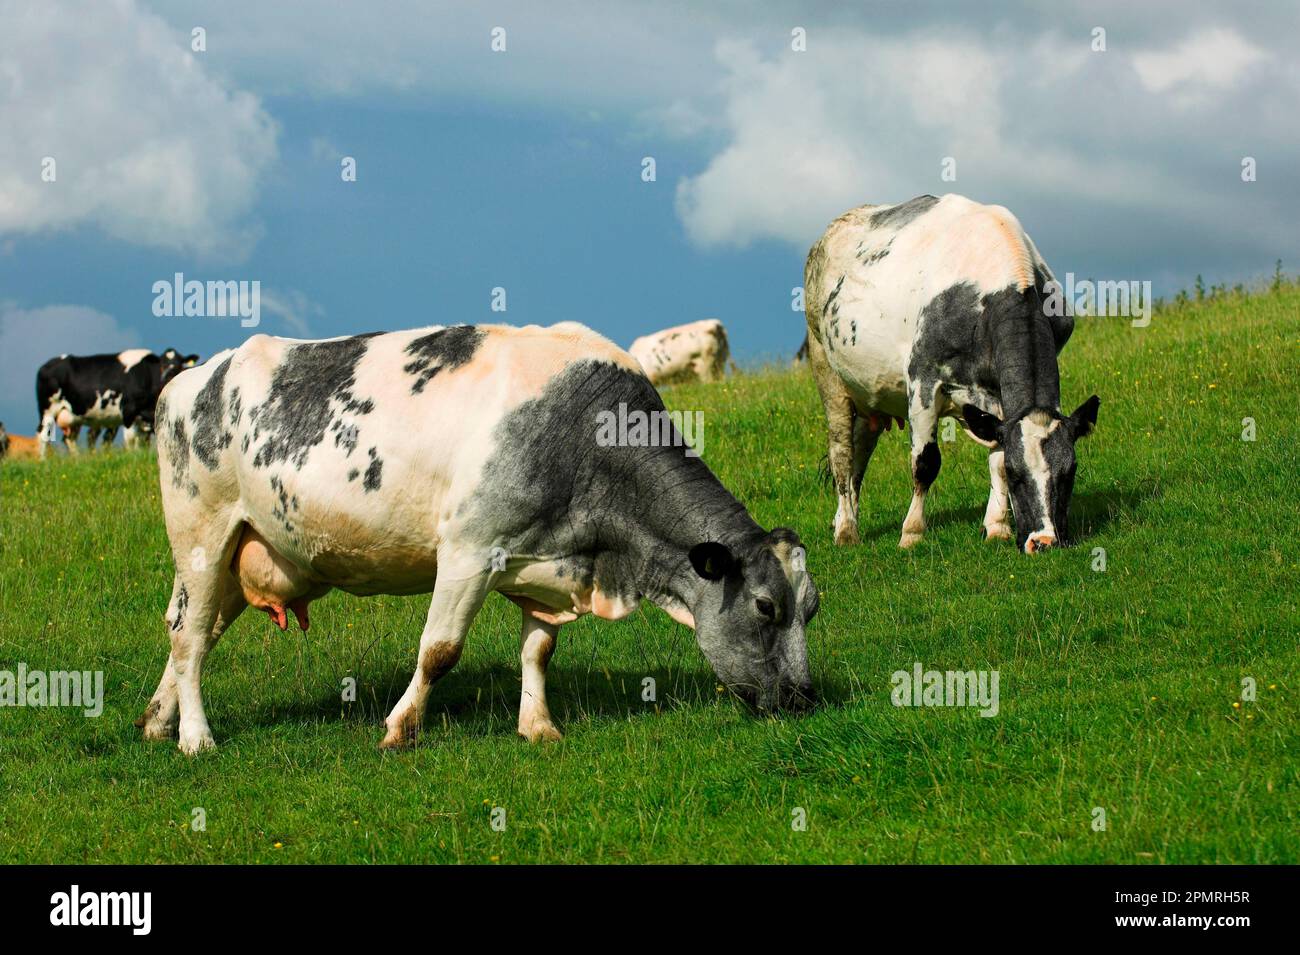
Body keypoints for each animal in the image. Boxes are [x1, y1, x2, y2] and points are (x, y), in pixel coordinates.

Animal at [36, 348, 197, 457]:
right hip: (48, 410)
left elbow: (143, 442)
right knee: (42, 435)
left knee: (69, 439)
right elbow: (131, 440)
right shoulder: (128, 411)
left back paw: (77, 458)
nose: (169, 375)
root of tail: (45, 365)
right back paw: (43, 462)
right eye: (162, 364)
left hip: (73, 418)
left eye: (179, 364)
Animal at [139, 320, 811, 753]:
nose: (804, 699)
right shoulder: (467, 550)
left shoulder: (546, 563)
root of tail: (196, 376)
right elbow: (439, 650)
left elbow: (538, 650)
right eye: (765, 606)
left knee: (191, 631)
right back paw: (195, 737)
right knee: (190, 634)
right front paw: (400, 728)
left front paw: (538, 727)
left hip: (246, 550)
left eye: (812, 608)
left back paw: (156, 721)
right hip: (201, 533)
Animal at [800, 194, 1097, 553]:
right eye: (1017, 474)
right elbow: (925, 463)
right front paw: (912, 533)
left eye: (1071, 470)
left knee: (860, 450)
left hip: (868, 392)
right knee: (842, 452)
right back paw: (847, 530)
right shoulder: (923, 380)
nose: (1044, 541)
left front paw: (996, 527)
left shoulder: (997, 398)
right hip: (826, 368)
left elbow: (996, 456)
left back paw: (843, 519)